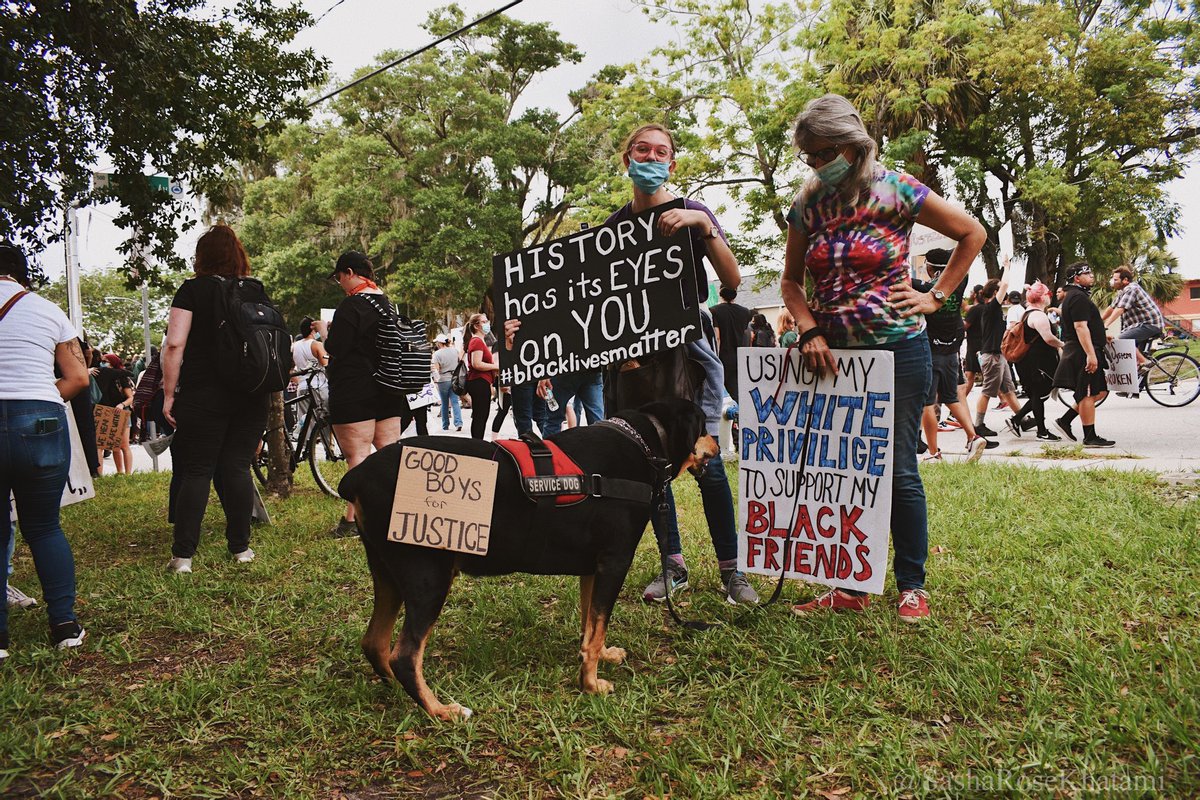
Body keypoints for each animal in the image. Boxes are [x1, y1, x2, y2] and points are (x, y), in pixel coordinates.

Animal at [333, 398, 715, 719]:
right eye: (704, 423)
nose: (721, 437)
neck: (643, 442)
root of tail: (357, 476)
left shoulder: (592, 568)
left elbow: (590, 625)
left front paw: (600, 657)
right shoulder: (615, 561)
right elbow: (597, 627)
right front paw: (591, 685)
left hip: (388, 573)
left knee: (374, 643)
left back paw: (404, 695)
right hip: (427, 576)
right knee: (404, 655)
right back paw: (440, 710)